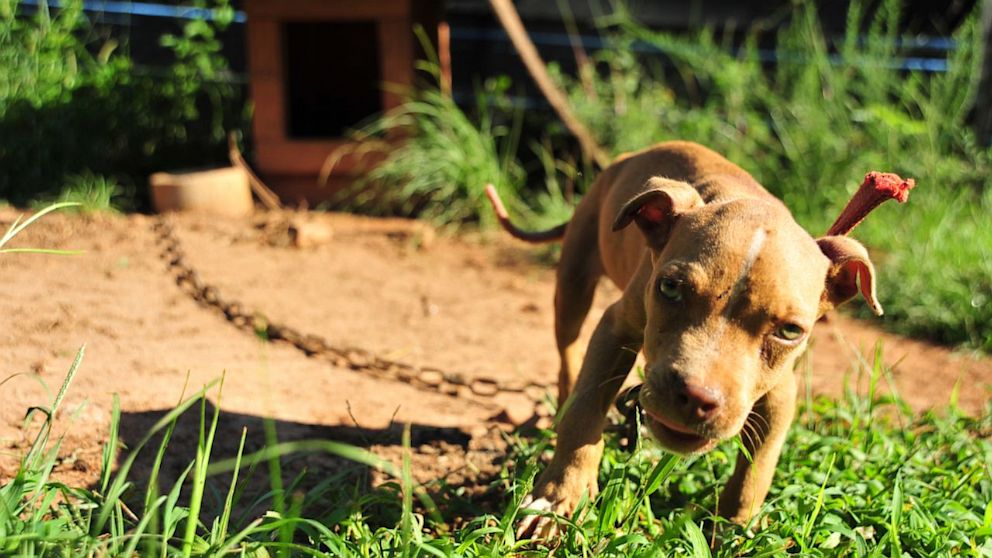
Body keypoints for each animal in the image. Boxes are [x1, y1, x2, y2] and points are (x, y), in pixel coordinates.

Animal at [484, 142, 880, 540]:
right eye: (670, 287)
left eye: (790, 332)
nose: (696, 397)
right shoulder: (615, 328)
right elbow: (585, 412)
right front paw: (557, 499)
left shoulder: (781, 390)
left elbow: (759, 466)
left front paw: (736, 528)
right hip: (575, 278)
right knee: (569, 352)